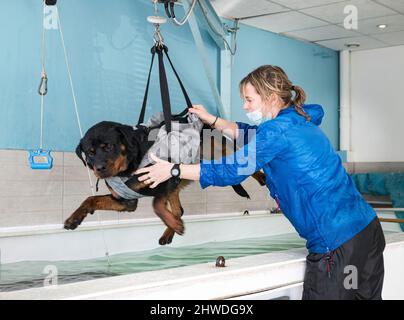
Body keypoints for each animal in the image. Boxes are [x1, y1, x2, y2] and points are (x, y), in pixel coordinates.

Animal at [64, 120, 266, 245]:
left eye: (109, 147)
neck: (130, 166)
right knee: (179, 210)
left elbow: (155, 204)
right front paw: (74, 218)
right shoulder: (126, 201)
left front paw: (174, 223)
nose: (99, 168)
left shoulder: (166, 176)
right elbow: (91, 199)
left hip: (216, 150)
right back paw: (169, 231)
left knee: (246, 163)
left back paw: (262, 177)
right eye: (90, 153)